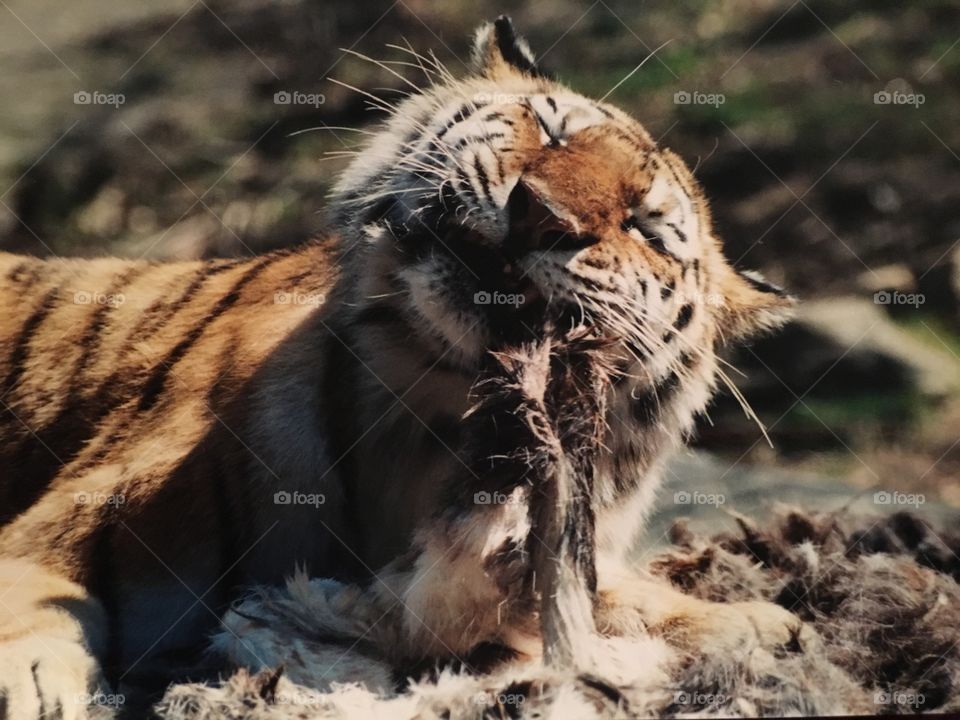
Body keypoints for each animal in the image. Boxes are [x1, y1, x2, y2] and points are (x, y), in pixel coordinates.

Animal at [0, 16, 806, 719]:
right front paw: (32, 682)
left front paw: (757, 622)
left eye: (645, 228)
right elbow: (35, 594)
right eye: (552, 128)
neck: (433, 413)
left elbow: (601, 593)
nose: (541, 212)